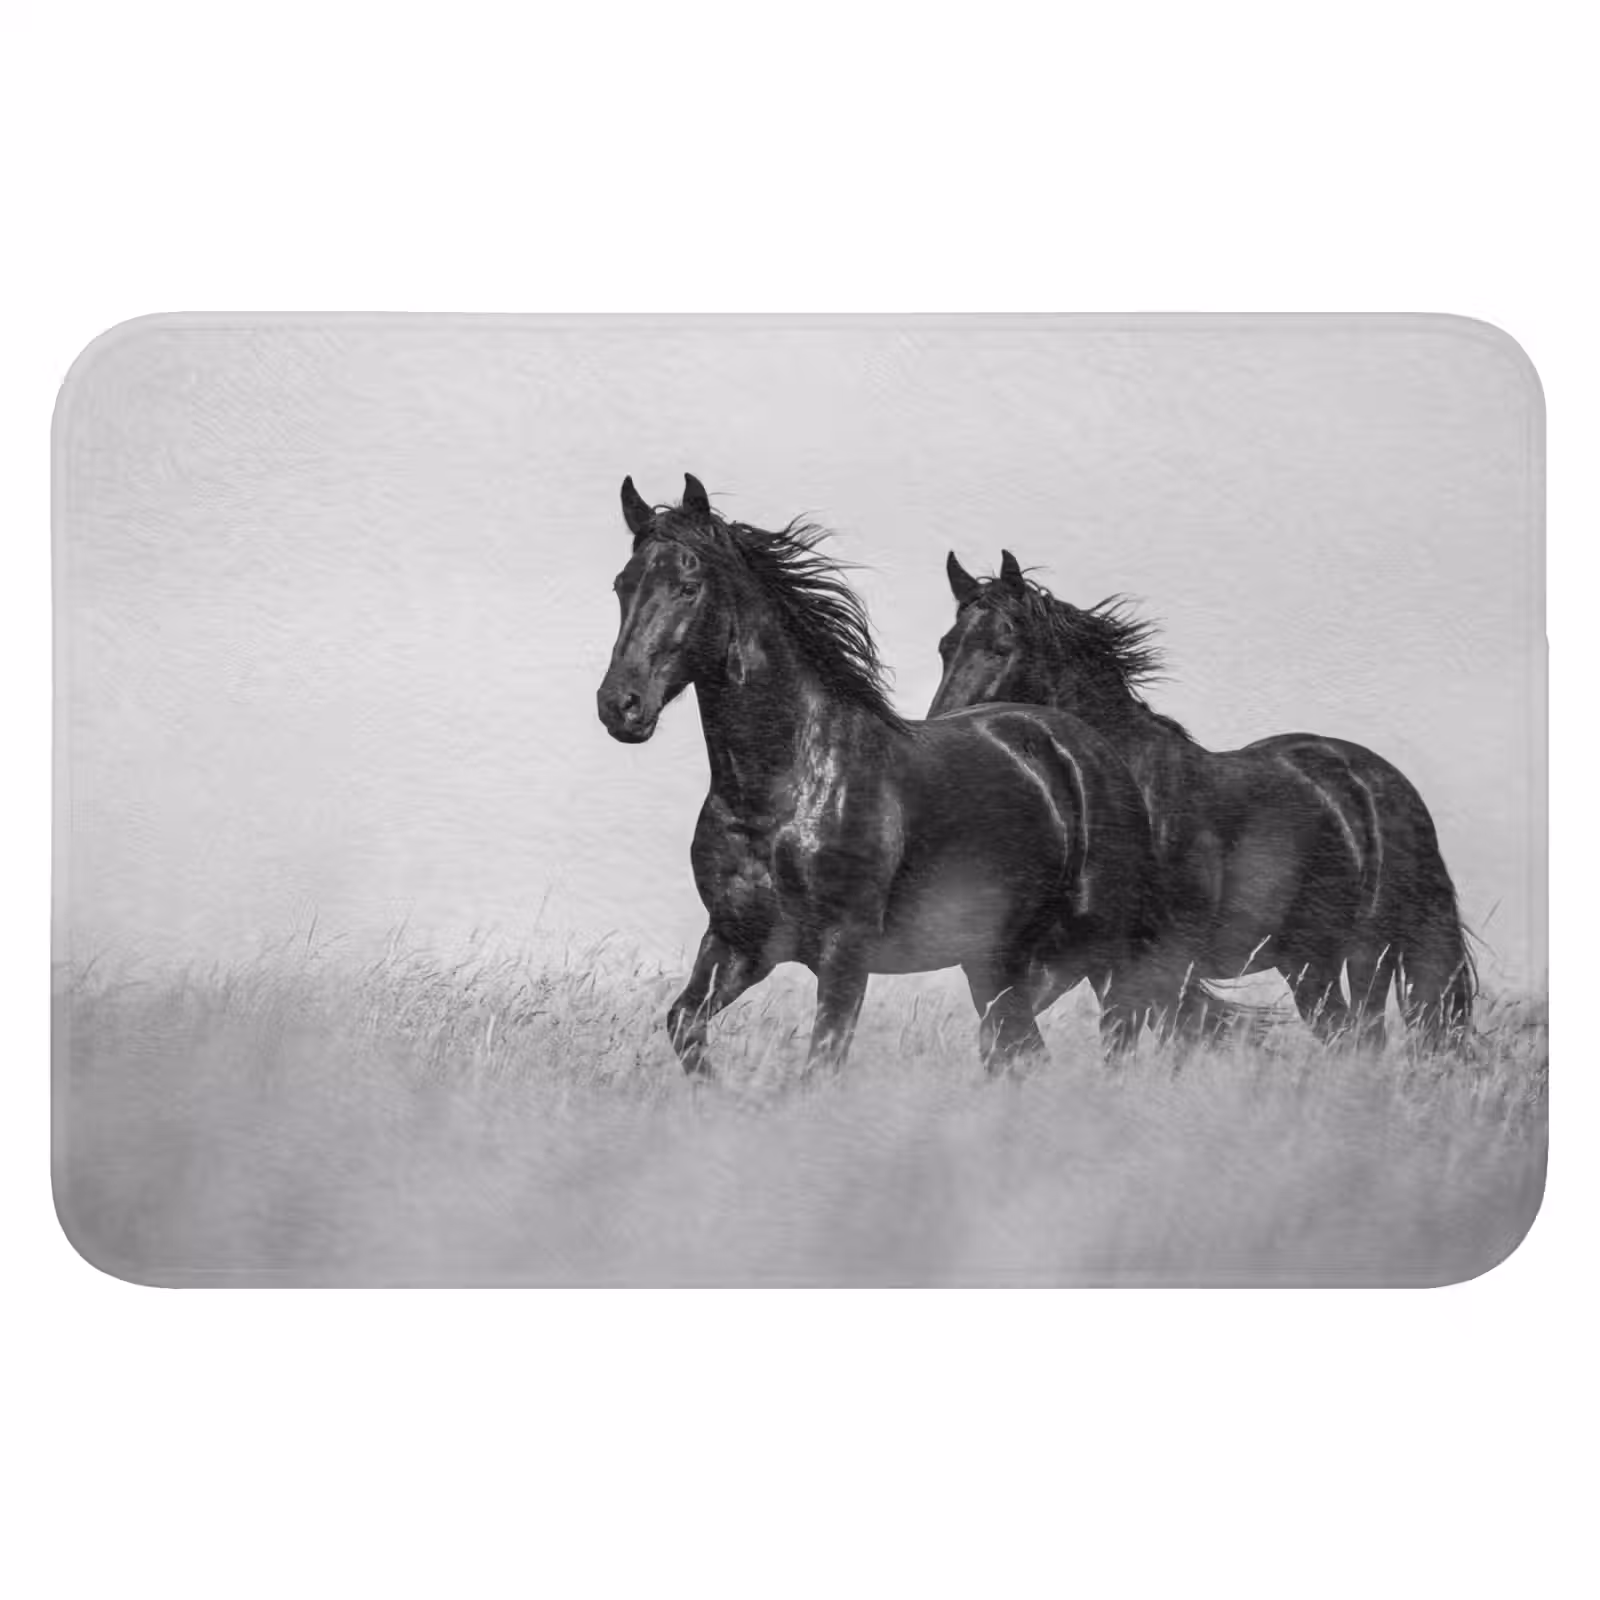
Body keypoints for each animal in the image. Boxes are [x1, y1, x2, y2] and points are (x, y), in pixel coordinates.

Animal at [595, 475, 1167, 1077]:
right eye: (622, 585)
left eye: (688, 585)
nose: (620, 706)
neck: (781, 794)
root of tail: (1088, 748)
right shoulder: (737, 942)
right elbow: (684, 1023)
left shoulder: (845, 951)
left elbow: (821, 1063)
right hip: (996, 962)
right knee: (1018, 1051)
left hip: (1101, 950)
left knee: (1115, 1041)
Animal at [928, 551, 1475, 1048]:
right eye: (946, 647)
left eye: (1003, 646)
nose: (946, 732)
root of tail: (1381, 782)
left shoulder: (1144, 963)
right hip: (1308, 960)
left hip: (1368, 952)